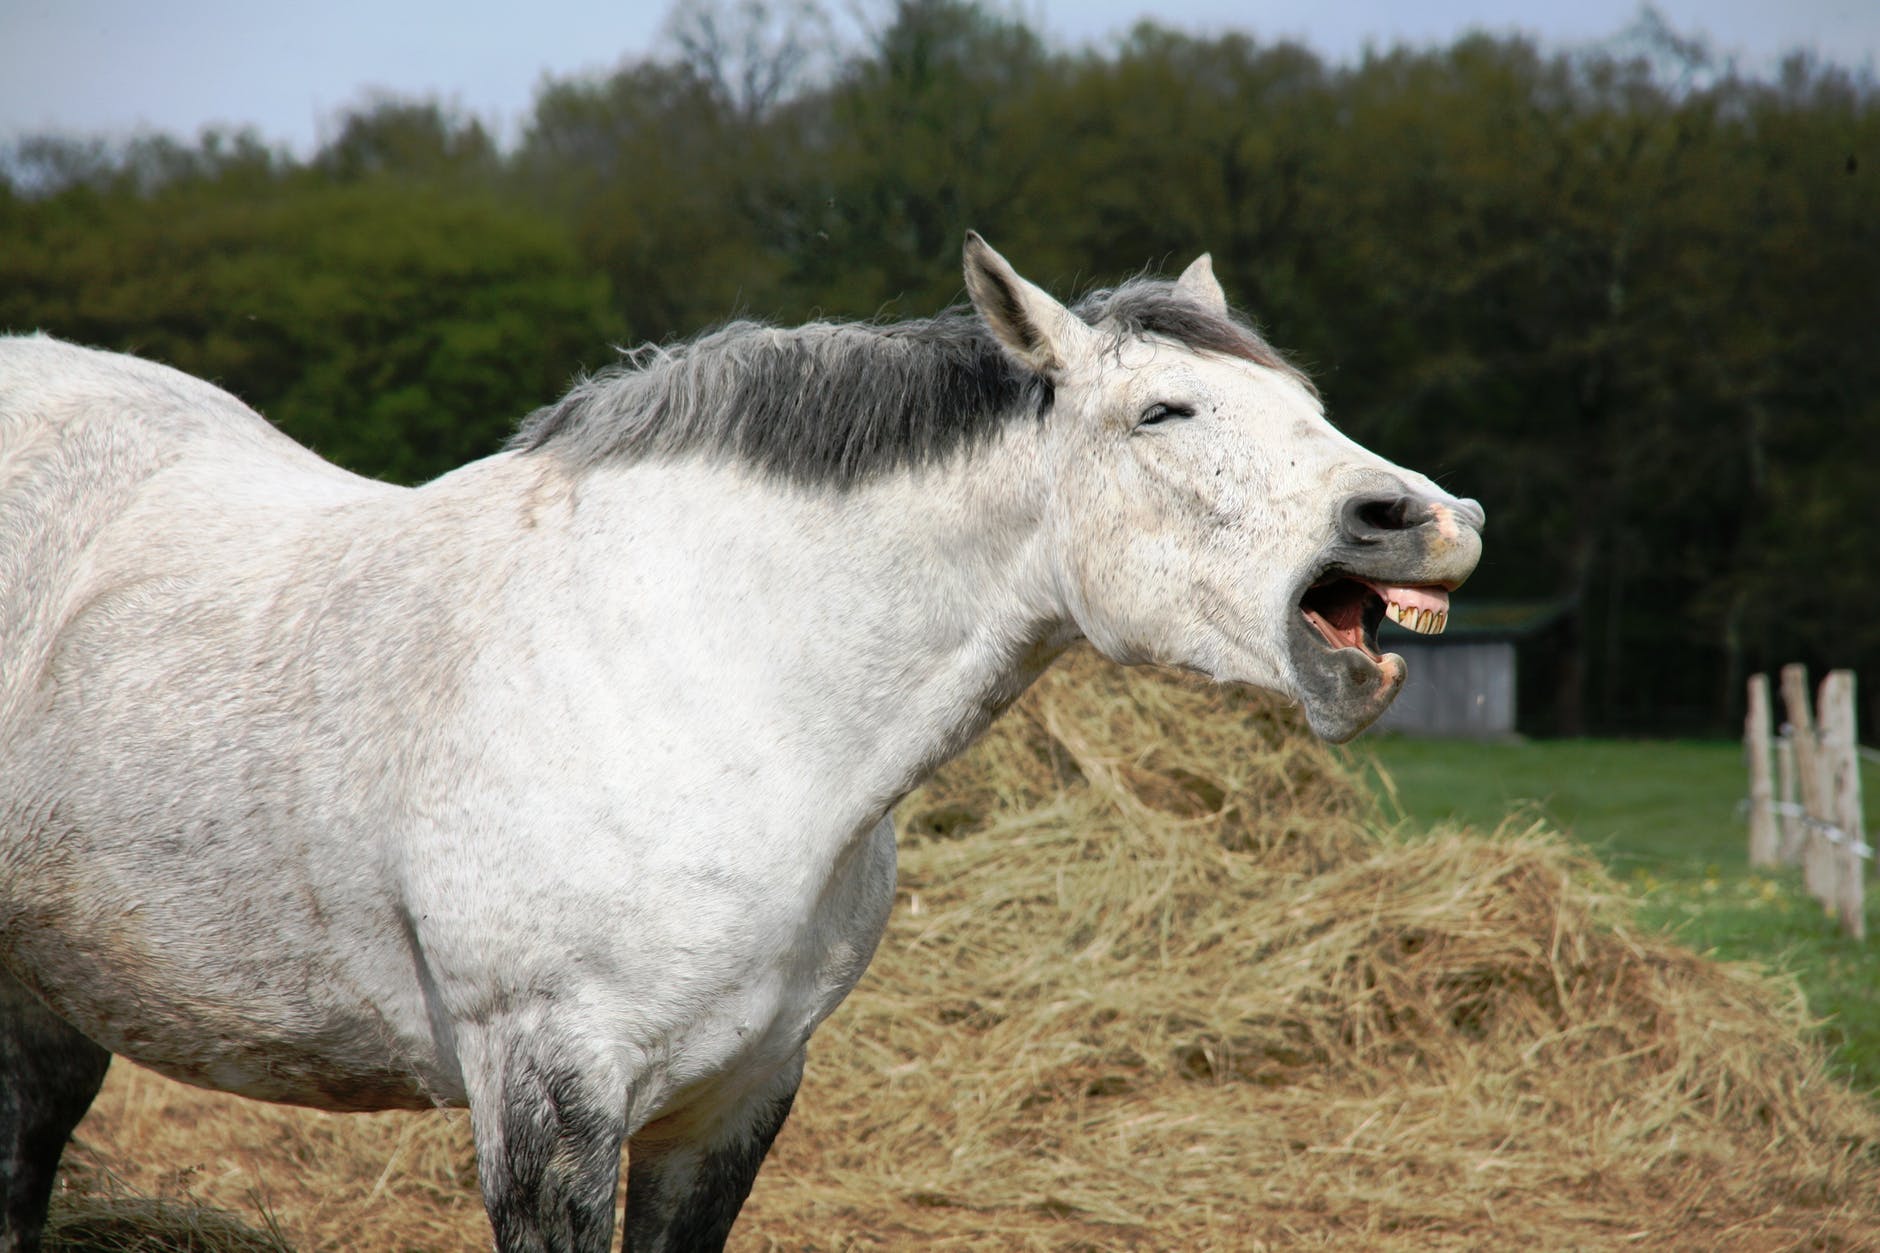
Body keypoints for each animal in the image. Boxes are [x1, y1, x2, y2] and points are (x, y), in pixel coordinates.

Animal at [0, 234, 1482, 1252]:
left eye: (1306, 406)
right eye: (1161, 412)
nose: (1422, 519)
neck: (710, 682)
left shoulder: (737, 1097)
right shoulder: (545, 1094)